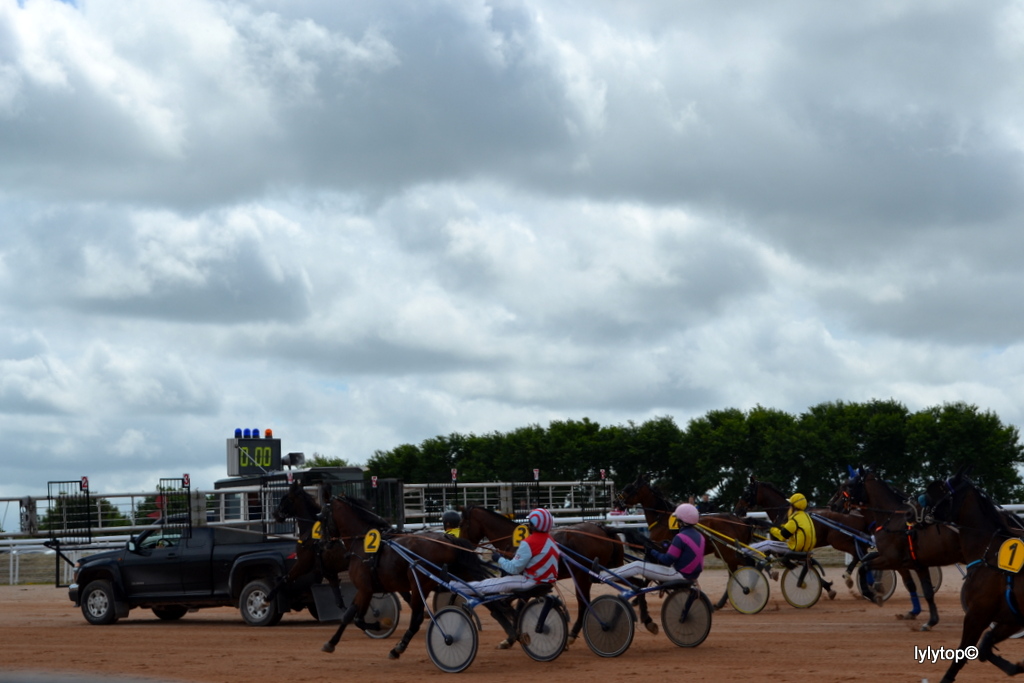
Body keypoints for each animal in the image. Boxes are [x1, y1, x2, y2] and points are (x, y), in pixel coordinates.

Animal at [323, 493, 491, 659]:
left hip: (419, 585)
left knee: (416, 619)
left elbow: (358, 619)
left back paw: (399, 648)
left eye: (322, 516)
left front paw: (381, 624)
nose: (324, 543)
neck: (363, 543)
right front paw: (331, 643)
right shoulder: (363, 589)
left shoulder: (365, 589)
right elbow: (348, 615)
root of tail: (448, 540)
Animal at [460, 505, 651, 643]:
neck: (512, 539)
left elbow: (516, 604)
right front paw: (515, 635)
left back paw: (574, 633)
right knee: (638, 584)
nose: (460, 543)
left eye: (462, 525)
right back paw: (648, 619)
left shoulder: (522, 579)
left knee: (583, 603)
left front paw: (514, 636)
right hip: (611, 568)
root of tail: (604, 530)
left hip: (583, 576)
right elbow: (518, 605)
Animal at [614, 473, 761, 610]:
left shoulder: (661, 550)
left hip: (727, 552)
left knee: (747, 564)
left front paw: (636, 598)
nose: (616, 501)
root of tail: (741, 521)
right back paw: (723, 602)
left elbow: (648, 576)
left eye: (629, 487)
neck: (661, 518)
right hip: (727, 553)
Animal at [835, 466, 962, 634]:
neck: (891, 518)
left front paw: (874, 593)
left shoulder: (891, 559)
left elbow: (864, 567)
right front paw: (924, 617)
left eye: (848, 486)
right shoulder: (911, 564)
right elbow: (920, 588)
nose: (832, 505)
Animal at [925, 471, 1024, 683]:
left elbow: (963, 654)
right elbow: (985, 647)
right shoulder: (1011, 618)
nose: (910, 511)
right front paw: (1015, 667)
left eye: (939, 490)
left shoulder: (977, 615)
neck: (990, 553)